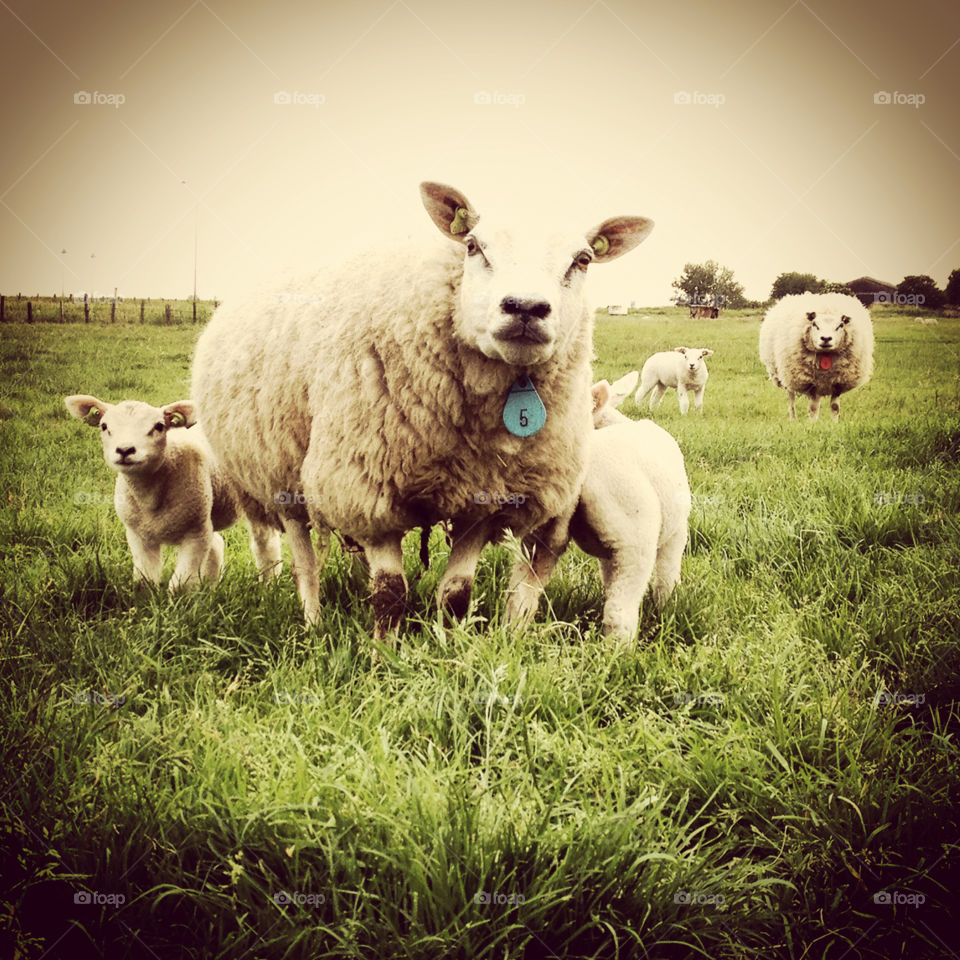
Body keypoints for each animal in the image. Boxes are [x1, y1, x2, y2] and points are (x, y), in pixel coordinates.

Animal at [63, 394, 274, 588]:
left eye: (158, 426)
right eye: (104, 426)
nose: (125, 450)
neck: (150, 498)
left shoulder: (195, 534)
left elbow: (180, 585)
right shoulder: (139, 535)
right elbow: (145, 581)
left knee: (265, 544)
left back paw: (268, 584)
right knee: (217, 544)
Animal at [191, 181, 656, 636]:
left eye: (583, 259)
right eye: (473, 246)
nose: (525, 307)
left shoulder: (484, 503)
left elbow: (456, 592)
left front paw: (448, 640)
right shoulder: (366, 487)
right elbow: (390, 592)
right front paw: (384, 650)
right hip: (279, 476)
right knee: (304, 563)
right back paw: (313, 623)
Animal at [502, 372, 688, 640]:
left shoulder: (610, 553)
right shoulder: (676, 533)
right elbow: (667, 578)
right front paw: (667, 608)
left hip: (540, 536)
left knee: (521, 593)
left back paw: (513, 634)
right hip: (635, 539)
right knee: (618, 612)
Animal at [760, 292, 872, 420]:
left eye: (840, 325)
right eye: (814, 324)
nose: (826, 338)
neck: (826, 355)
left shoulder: (838, 383)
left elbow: (835, 407)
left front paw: (834, 423)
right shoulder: (812, 384)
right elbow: (813, 408)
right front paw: (813, 423)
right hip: (787, 375)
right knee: (791, 399)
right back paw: (793, 419)